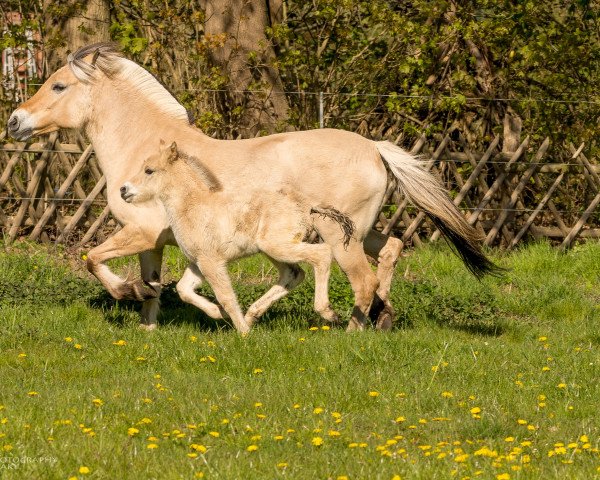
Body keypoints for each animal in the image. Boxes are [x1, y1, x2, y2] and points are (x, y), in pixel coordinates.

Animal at [5, 43, 502, 332]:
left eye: (58, 85)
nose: (14, 121)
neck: (145, 149)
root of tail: (375, 148)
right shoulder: (158, 242)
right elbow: (157, 284)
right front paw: (149, 323)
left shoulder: (140, 232)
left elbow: (93, 260)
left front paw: (133, 296)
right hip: (358, 229)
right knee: (392, 250)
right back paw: (382, 318)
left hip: (340, 236)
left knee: (359, 278)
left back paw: (351, 328)